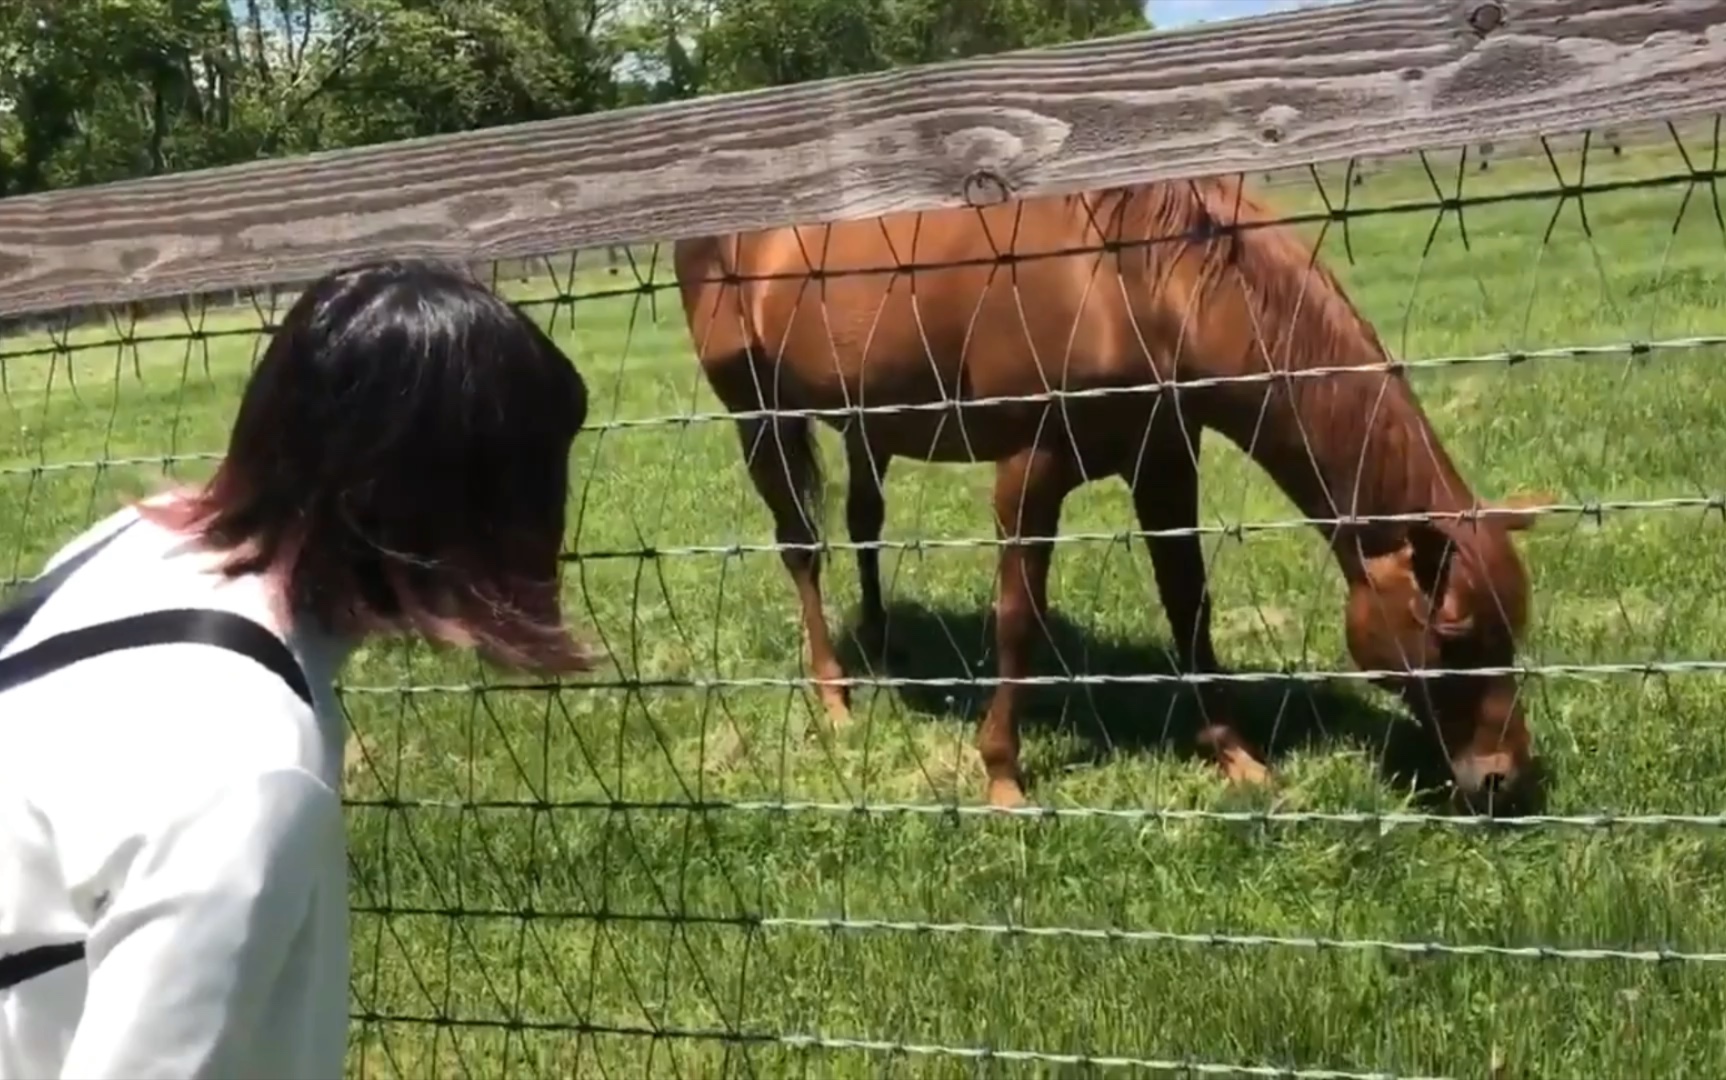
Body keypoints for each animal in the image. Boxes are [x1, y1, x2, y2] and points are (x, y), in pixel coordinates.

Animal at [666, 172, 1546, 803]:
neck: (1130, 278)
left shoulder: (1164, 462)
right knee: (801, 547)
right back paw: (836, 698)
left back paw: (882, 648)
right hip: (758, 413)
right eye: (1454, 635)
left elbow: (1189, 605)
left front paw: (1236, 758)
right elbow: (1019, 617)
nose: (1503, 778)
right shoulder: (1030, 468)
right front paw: (1003, 776)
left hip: (865, 423)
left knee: (864, 523)